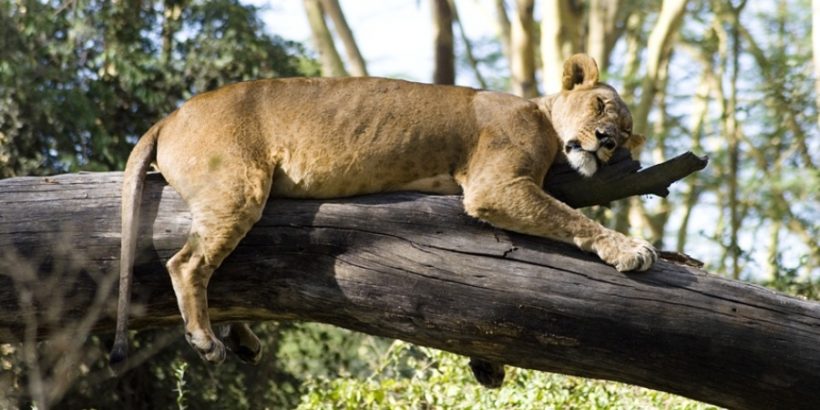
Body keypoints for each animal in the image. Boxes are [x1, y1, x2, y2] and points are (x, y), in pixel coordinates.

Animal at [110, 52, 660, 370]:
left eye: (624, 130)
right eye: (599, 107)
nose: (607, 142)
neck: (543, 118)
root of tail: (170, 115)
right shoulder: (493, 185)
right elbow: (572, 216)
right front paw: (631, 249)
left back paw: (240, 337)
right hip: (238, 185)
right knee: (187, 262)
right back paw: (206, 340)